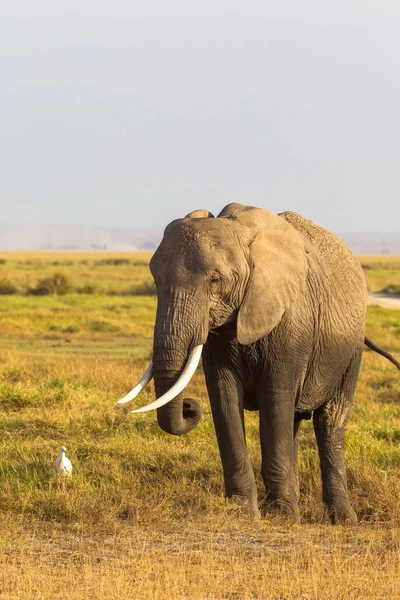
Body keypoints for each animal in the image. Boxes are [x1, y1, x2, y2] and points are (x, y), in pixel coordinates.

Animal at [119, 204, 400, 524]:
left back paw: (341, 518)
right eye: (156, 280)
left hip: (350, 350)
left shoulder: (292, 323)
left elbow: (275, 397)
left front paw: (281, 516)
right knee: (292, 421)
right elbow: (224, 399)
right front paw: (242, 511)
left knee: (329, 422)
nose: (189, 406)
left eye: (215, 280)